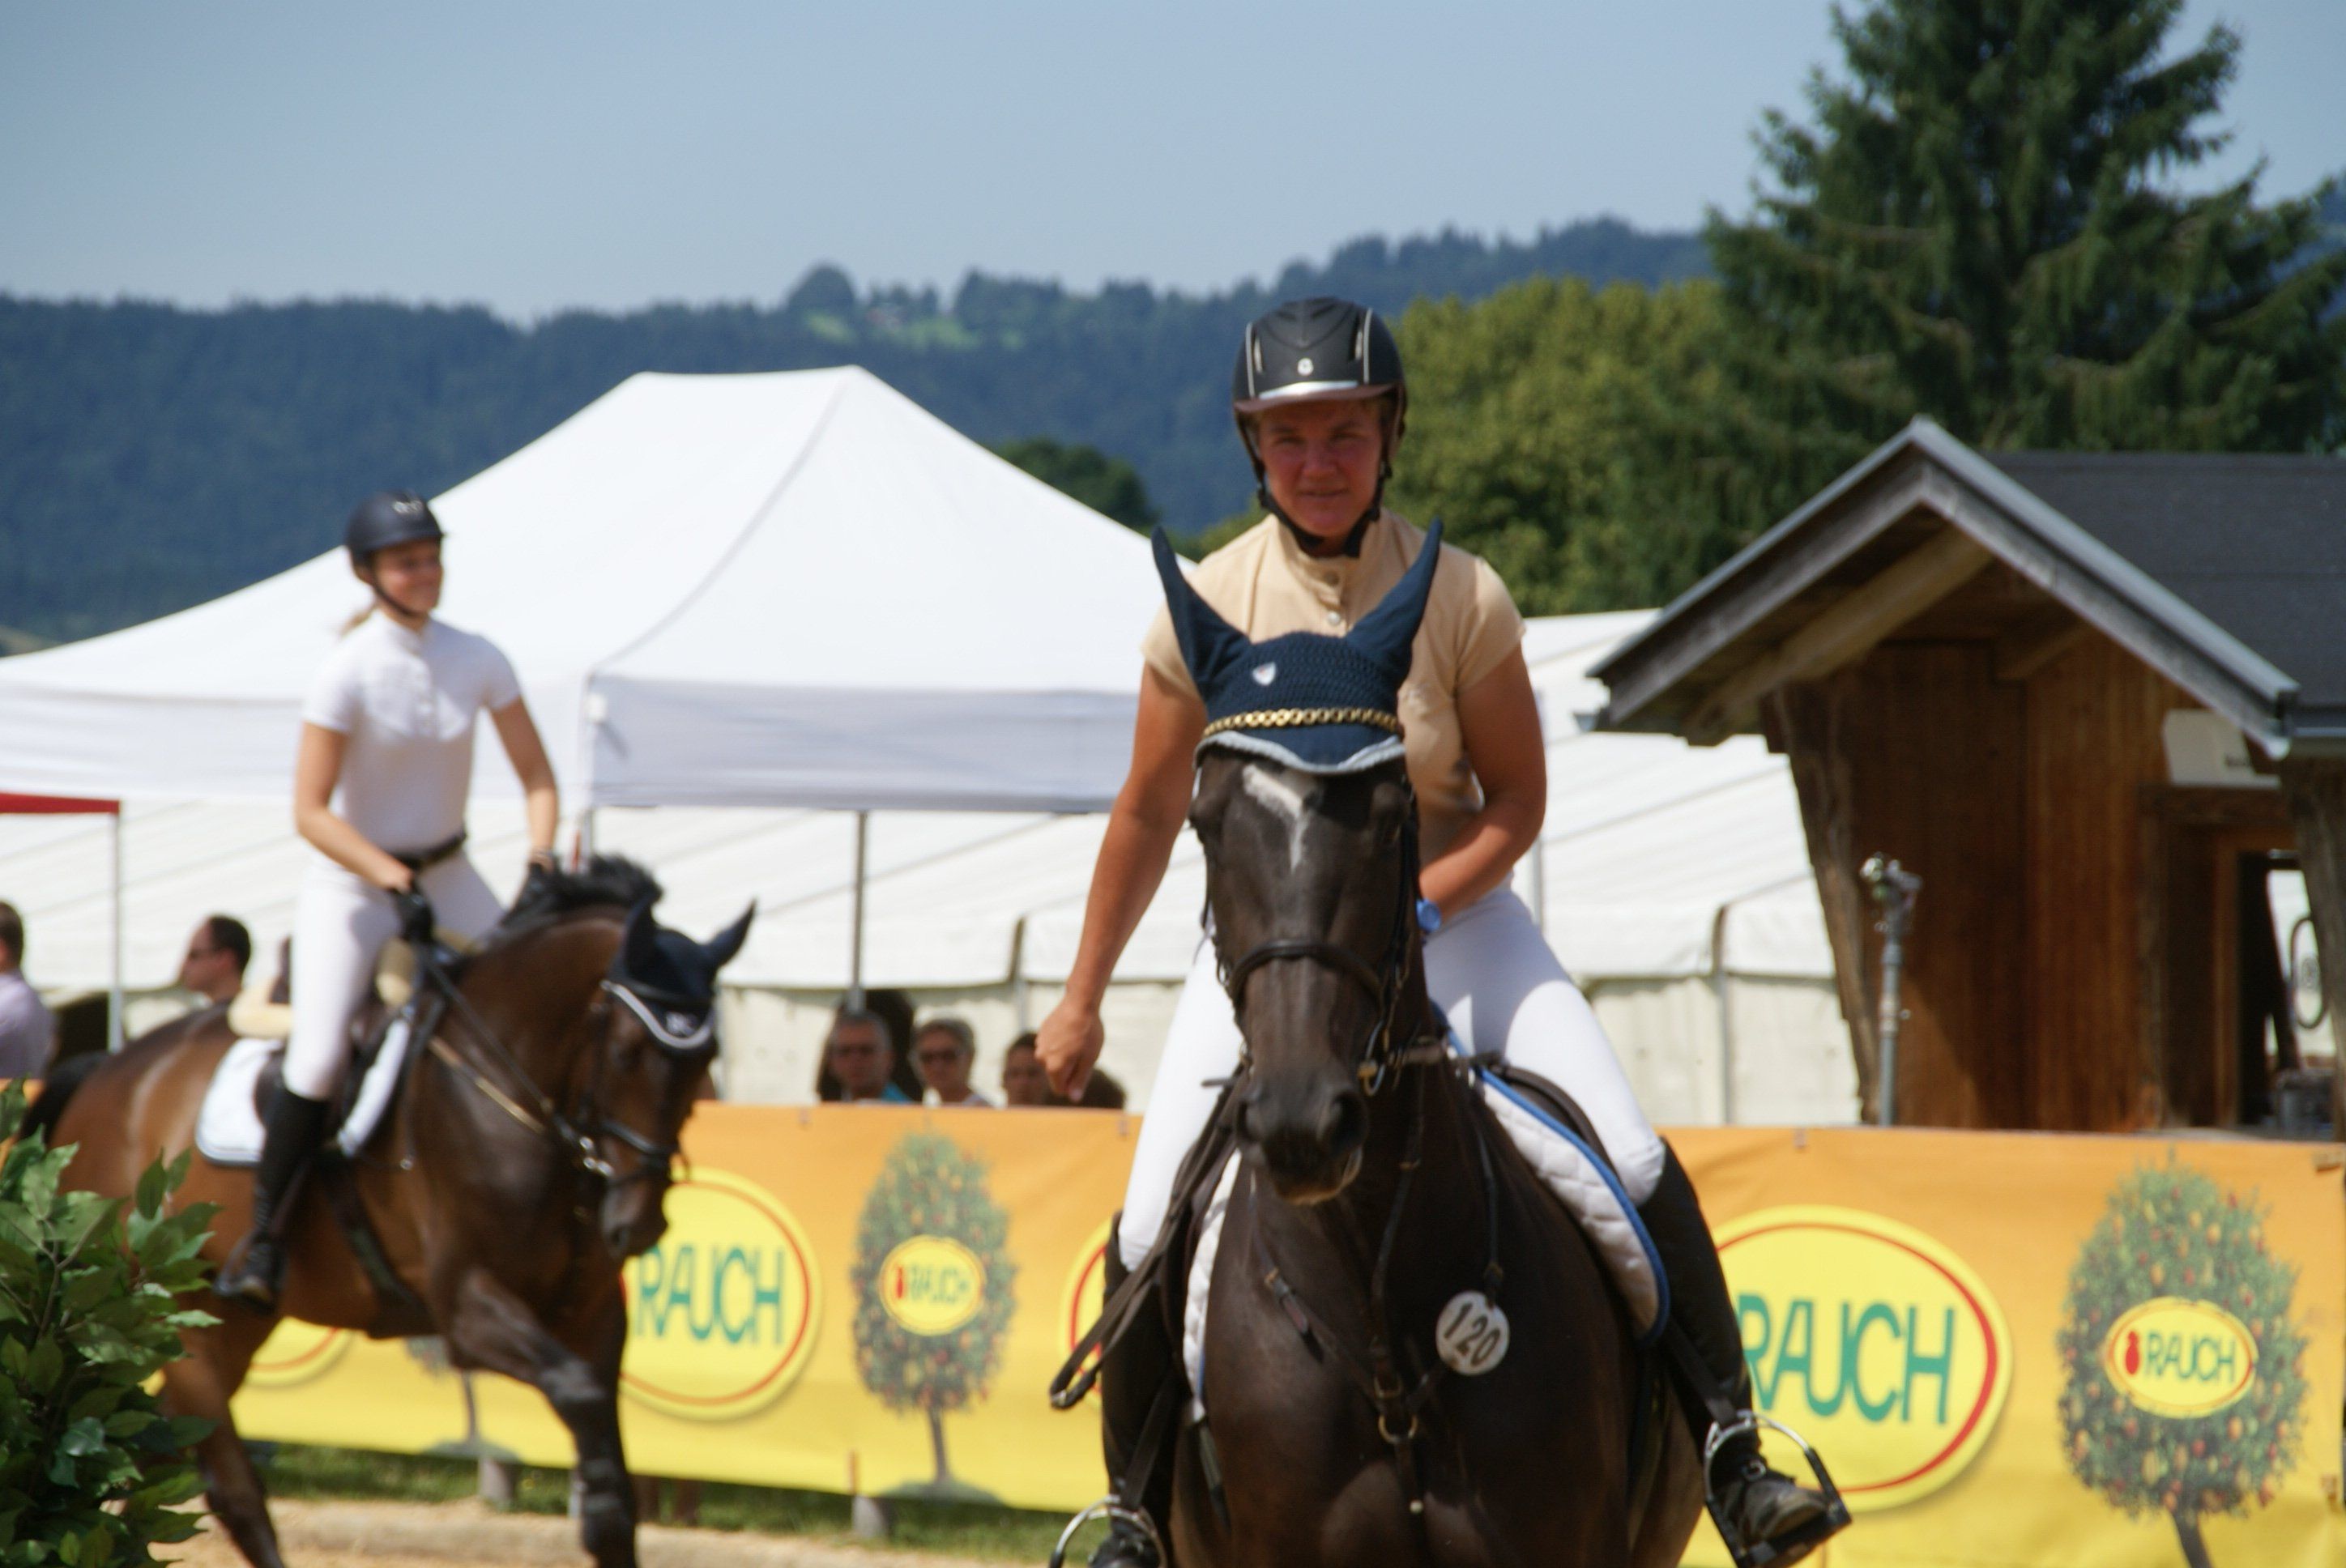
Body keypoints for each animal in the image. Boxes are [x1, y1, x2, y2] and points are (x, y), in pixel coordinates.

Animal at [23, 858, 750, 1568]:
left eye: (708, 1061)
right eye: (626, 1051)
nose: (638, 1223)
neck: (515, 1088)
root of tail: (105, 1071)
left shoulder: (591, 1316)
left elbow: (612, 1502)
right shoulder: (468, 1309)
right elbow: (581, 1395)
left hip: (224, 1325)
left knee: (160, 1455)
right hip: (168, 1315)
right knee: (231, 1489)